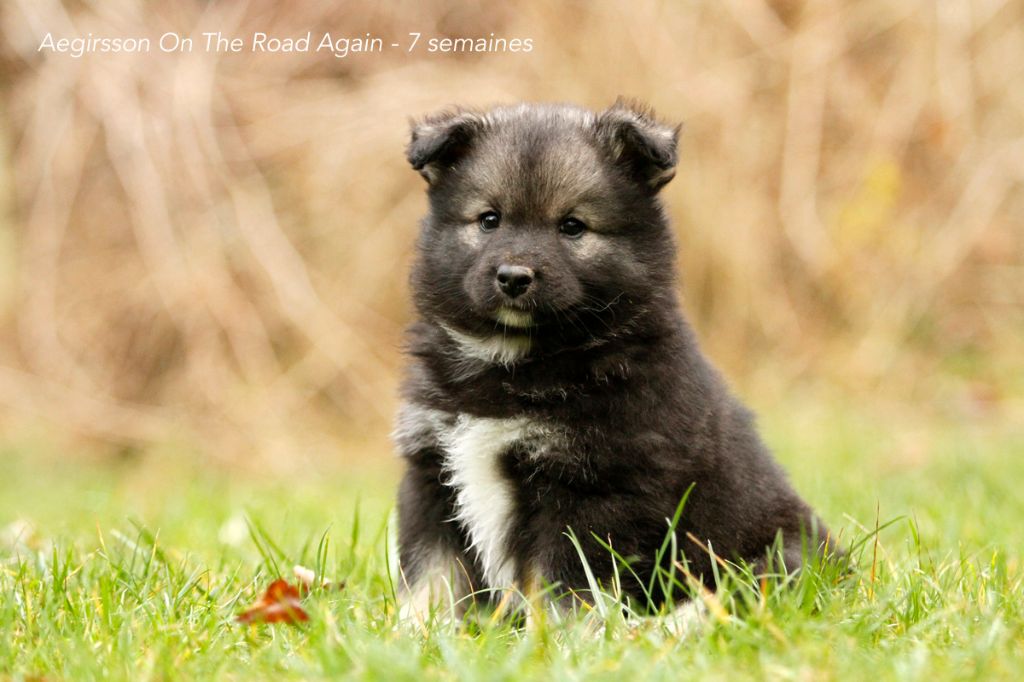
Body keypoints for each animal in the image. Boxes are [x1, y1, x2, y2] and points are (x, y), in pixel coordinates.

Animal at [394, 100, 835, 619]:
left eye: (572, 226)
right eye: (488, 220)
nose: (514, 276)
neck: (512, 360)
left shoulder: (596, 488)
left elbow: (562, 586)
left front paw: (559, 638)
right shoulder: (432, 473)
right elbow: (432, 577)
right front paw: (416, 630)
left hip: (778, 557)